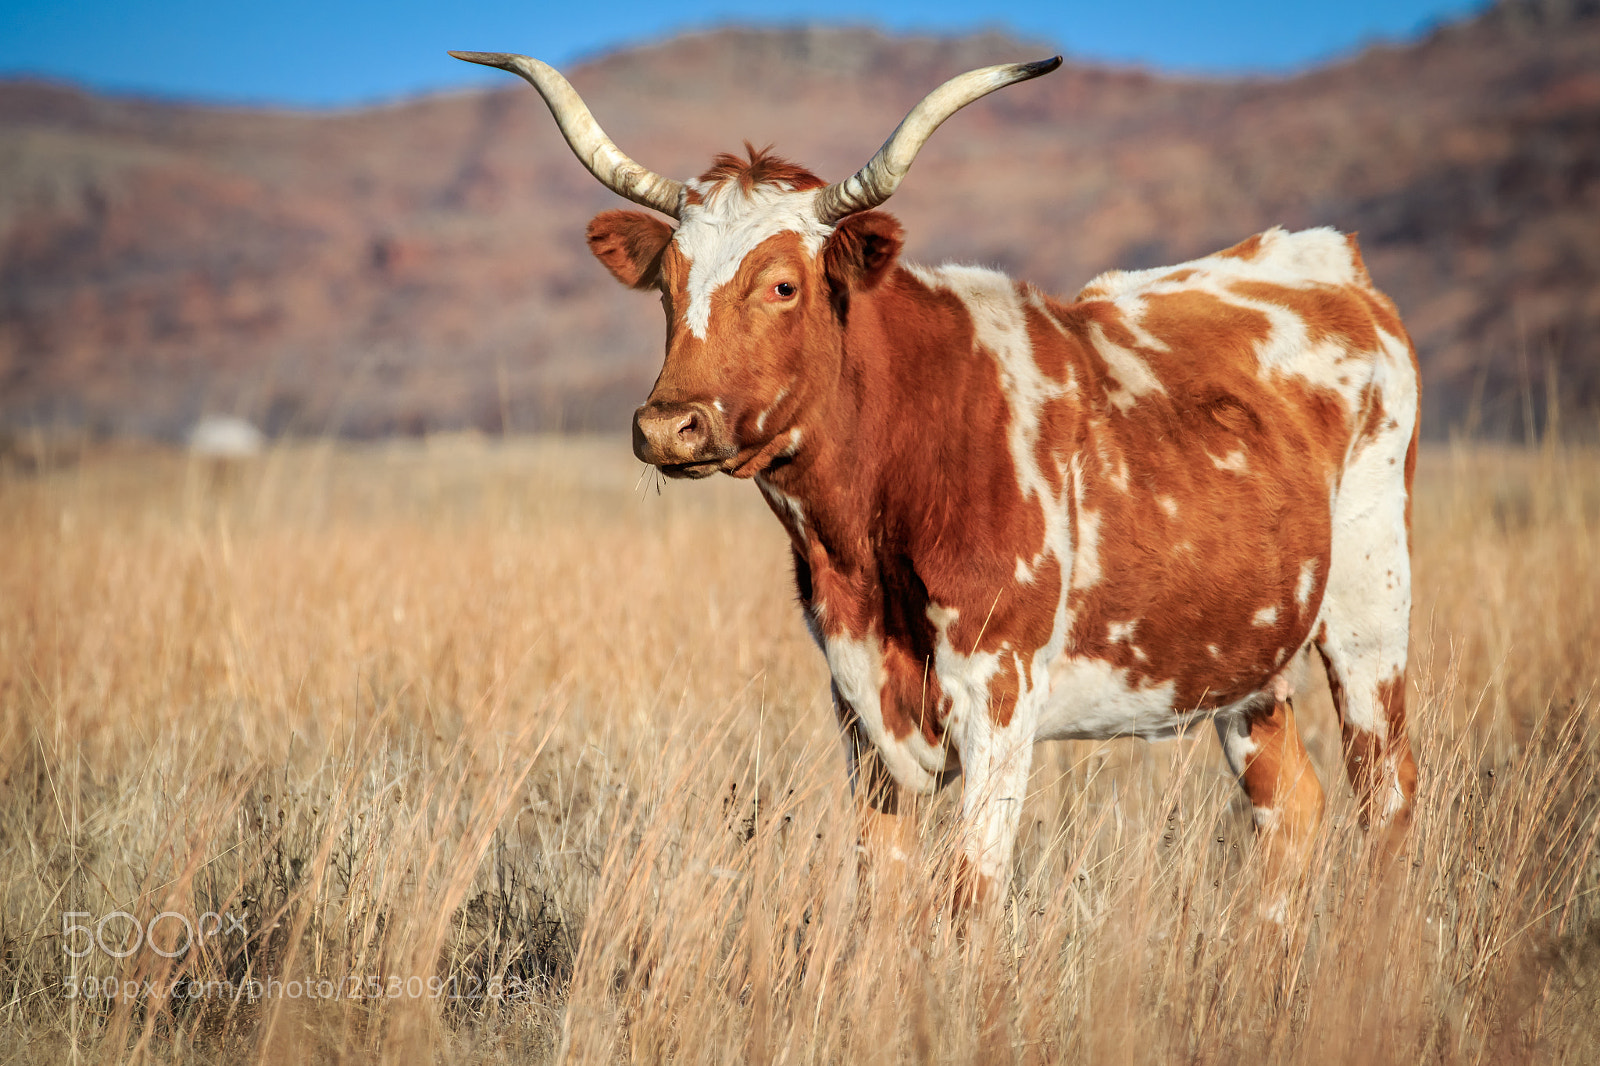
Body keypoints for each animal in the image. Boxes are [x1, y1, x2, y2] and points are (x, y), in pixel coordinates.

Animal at [450, 49, 1421, 907]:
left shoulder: (1000, 698)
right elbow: (882, 893)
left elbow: (967, 896)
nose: (668, 425)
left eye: (783, 285)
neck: (867, 532)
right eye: (668, 283)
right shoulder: (859, 708)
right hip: (1249, 661)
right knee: (1290, 811)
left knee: (1389, 798)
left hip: (1371, 611)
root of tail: (1328, 263)